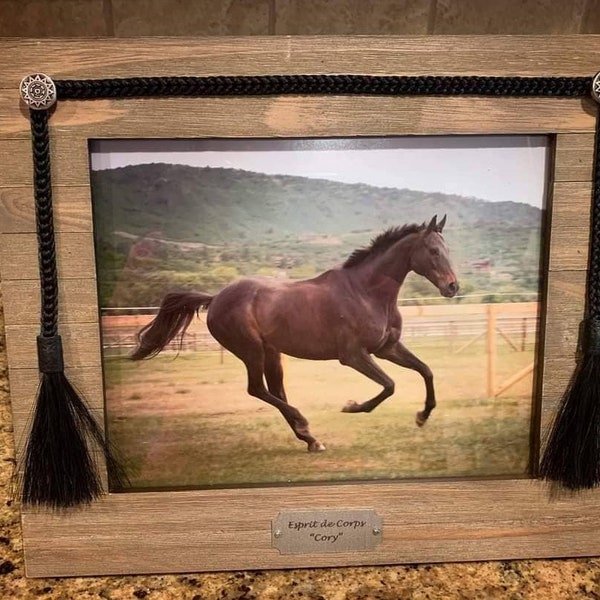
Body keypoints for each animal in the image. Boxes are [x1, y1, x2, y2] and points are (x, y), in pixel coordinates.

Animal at [132, 216, 460, 450]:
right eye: (433, 251)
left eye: (448, 250)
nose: (453, 287)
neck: (365, 292)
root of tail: (215, 299)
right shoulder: (354, 355)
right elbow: (390, 385)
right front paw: (352, 406)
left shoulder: (387, 348)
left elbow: (426, 371)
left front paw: (422, 416)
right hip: (251, 351)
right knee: (257, 389)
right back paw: (304, 424)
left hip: (272, 353)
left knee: (275, 391)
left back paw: (311, 439)